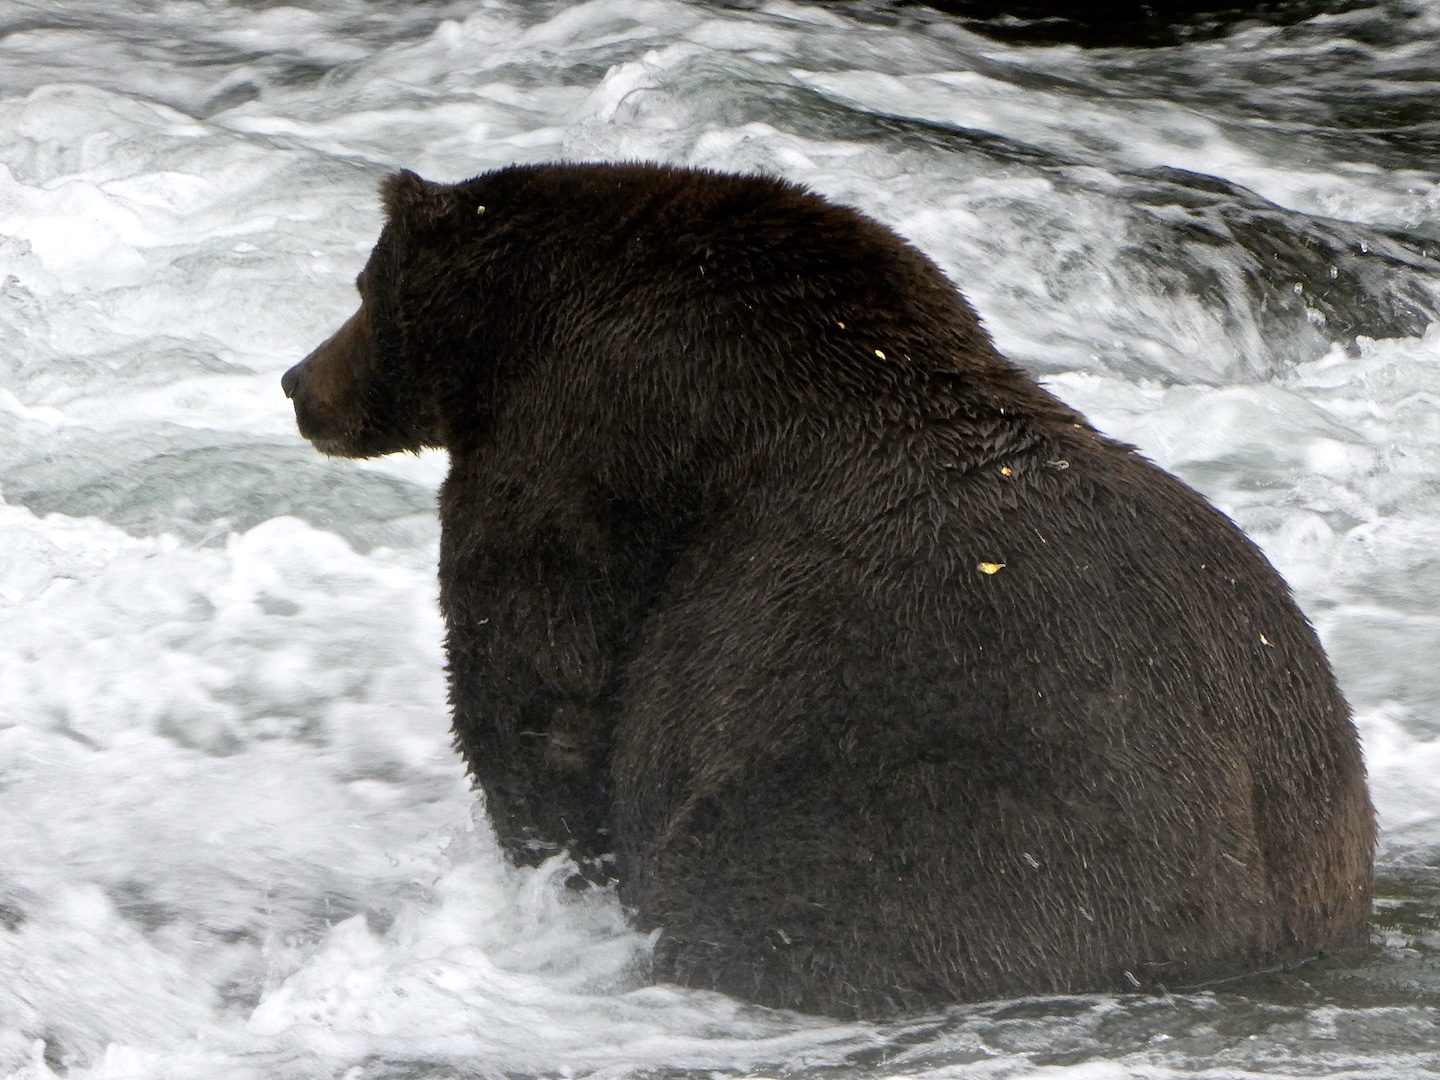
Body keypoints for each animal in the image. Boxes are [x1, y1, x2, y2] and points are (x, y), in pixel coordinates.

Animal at [281, 162, 1374, 1018]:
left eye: (362, 285)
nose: (297, 381)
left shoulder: (576, 456)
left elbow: (535, 682)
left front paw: (554, 869)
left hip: (925, 814)